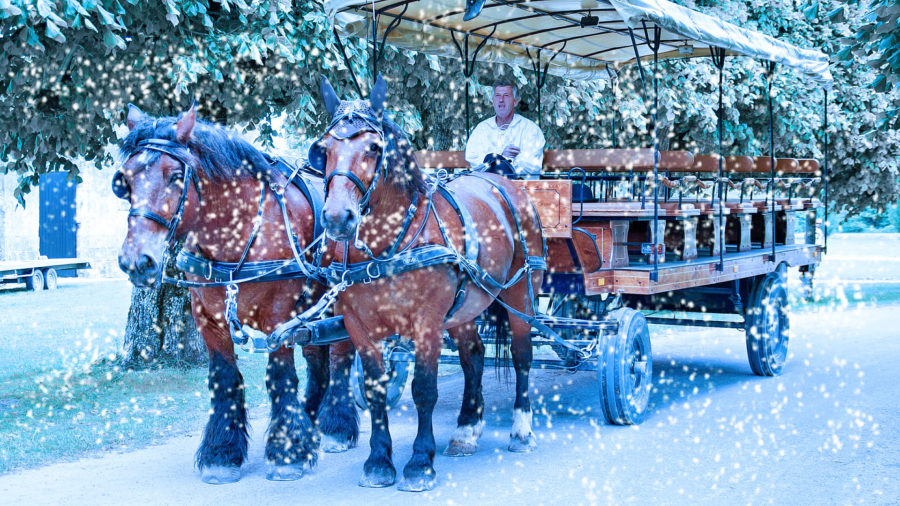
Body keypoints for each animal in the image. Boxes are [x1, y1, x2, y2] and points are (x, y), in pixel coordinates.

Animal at [115, 105, 358, 484]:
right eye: (124, 180)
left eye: (175, 176)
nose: (137, 261)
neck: (239, 231)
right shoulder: (208, 317)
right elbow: (224, 378)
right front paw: (222, 453)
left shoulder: (279, 317)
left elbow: (280, 377)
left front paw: (287, 454)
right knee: (317, 359)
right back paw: (312, 419)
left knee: (341, 357)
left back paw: (336, 426)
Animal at [312, 77, 544, 492]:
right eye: (324, 149)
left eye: (373, 148)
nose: (338, 217)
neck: (388, 244)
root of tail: (502, 180)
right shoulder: (358, 325)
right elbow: (375, 390)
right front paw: (378, 461)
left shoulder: (427, 323)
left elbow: (424, 389)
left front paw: (420, 462)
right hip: (468, 304)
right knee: (473, 356)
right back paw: (467, 429)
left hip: (520, 292)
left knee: (521, 355)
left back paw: (521, 430)